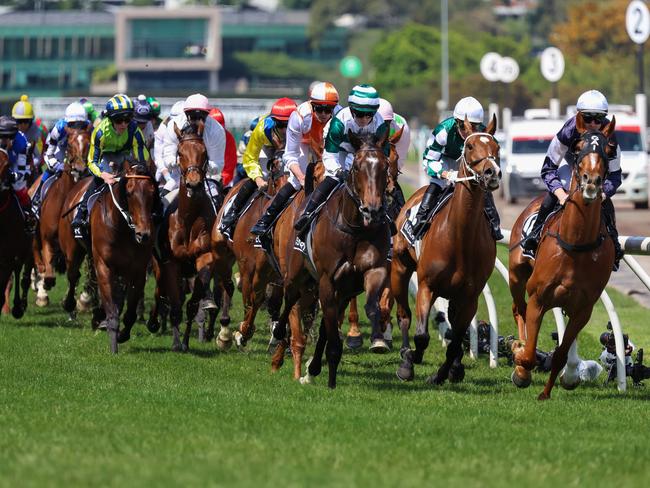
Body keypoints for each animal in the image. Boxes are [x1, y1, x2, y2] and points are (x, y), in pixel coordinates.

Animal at [32, 127, 90, 302]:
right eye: (69, 145)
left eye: (88, 143)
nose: (80, 169)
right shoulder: (47, 238)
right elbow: (49, 274)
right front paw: (44, 286)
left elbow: (75, 274)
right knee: (35, 249)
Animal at [90, 162, 157, 352]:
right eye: (129, 192)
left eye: (152, 192)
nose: (144, 234)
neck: (121, 229)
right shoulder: (104, 266)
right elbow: (112, 311)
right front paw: (113, 346)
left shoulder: (138, 270)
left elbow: (130, 312)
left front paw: (122, 335)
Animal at [268, 131, 390, 388]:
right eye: (356, 166)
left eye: (385, 166)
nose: (372, 210)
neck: (354, 228)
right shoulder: (327, 280)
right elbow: (331, 340)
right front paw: (330, 381)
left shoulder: (369, 273)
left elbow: (369, 306)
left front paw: (377, 335)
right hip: (296, 275)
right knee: (290, 298)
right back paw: (278, 335)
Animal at [388, 114, 498, 386]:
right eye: (470, 147)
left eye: (497, 147)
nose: (492, 173)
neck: (459, 238)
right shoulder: (426, 286)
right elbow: (421, 336)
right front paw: (411, 360)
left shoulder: (470, 295)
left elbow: (456, 340)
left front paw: (443, 373)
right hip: (400, 268)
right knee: (403, 315)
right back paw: (405, 357)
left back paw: (455, 367)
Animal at [508, 114, 616, 400]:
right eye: (578, 148)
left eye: (609, 149)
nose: (591, 182)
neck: (576, 244)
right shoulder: (538, 297)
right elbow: (530, 353)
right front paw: (521, 367)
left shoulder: (583, 309)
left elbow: (559, 354)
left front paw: (547, 392)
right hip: (516, 276)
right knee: (518, 308)